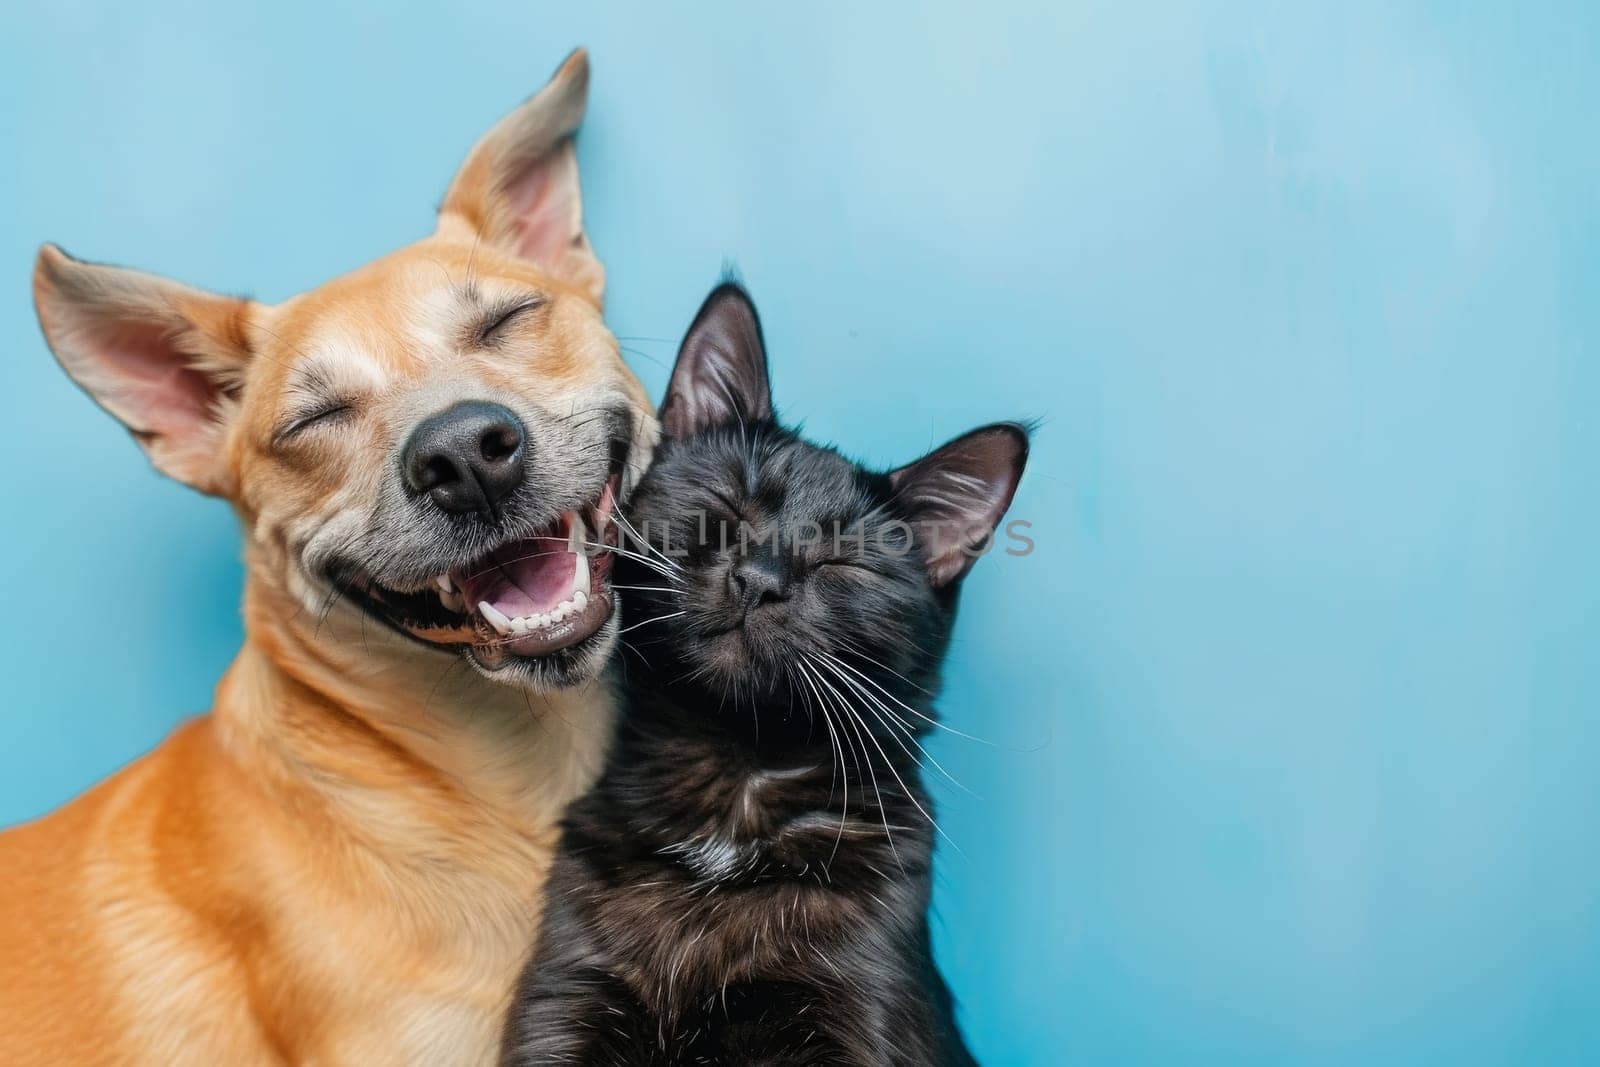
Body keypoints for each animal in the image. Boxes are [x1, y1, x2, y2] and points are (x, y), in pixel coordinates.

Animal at [499, 286, 1024, 1067]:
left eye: (844, 561)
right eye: (725, 507)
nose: (760, 578)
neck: (731, 790)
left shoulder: (854, 1009)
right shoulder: (567, 996)